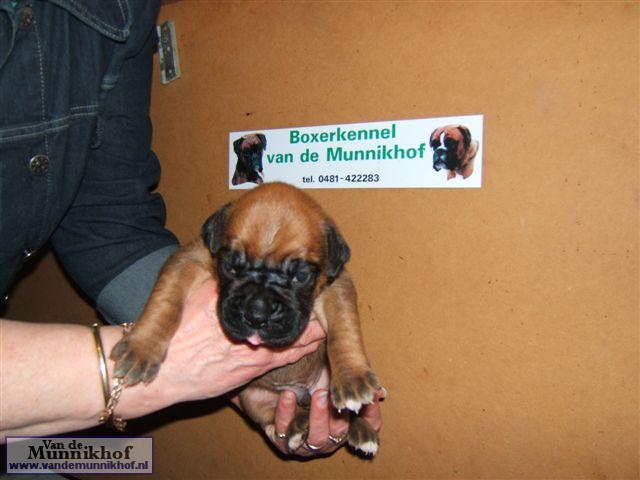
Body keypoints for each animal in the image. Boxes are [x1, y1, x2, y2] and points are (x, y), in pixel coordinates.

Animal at [110, 182, 380, 455]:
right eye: (231, 265)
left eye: (301, 276)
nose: (256, 314)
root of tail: (301, 393)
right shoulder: (190, 259)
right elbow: (165, 300)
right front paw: (141, 347)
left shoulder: (337, 284)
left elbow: (343, 329)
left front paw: (352, 377)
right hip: (255, 399)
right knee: (277, 414)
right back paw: (298, 426)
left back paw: (361, 429)